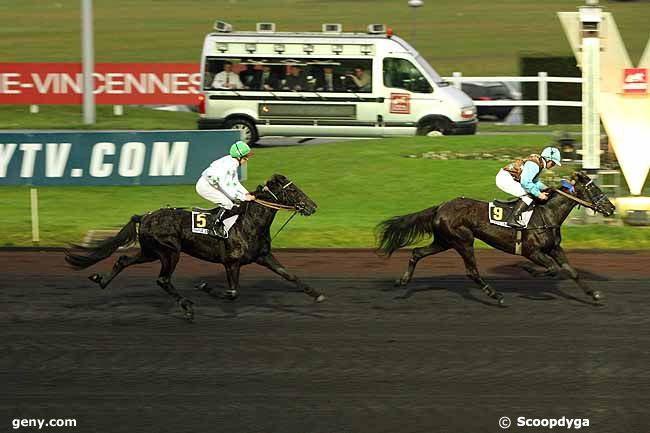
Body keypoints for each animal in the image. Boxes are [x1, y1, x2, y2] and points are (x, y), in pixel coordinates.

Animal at [374, 171, 612, 304]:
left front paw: (594, 295)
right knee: (472, 272)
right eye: (595, 189)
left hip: (444, 241)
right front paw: (527, 270)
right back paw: (496, 295)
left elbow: (571, 271)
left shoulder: (554, 248)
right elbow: (552, 269)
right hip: (463, 241)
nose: (610, 208)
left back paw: (403, 281)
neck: (546, 214)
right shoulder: (532, 251)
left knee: (417, 253)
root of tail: (439, 207)